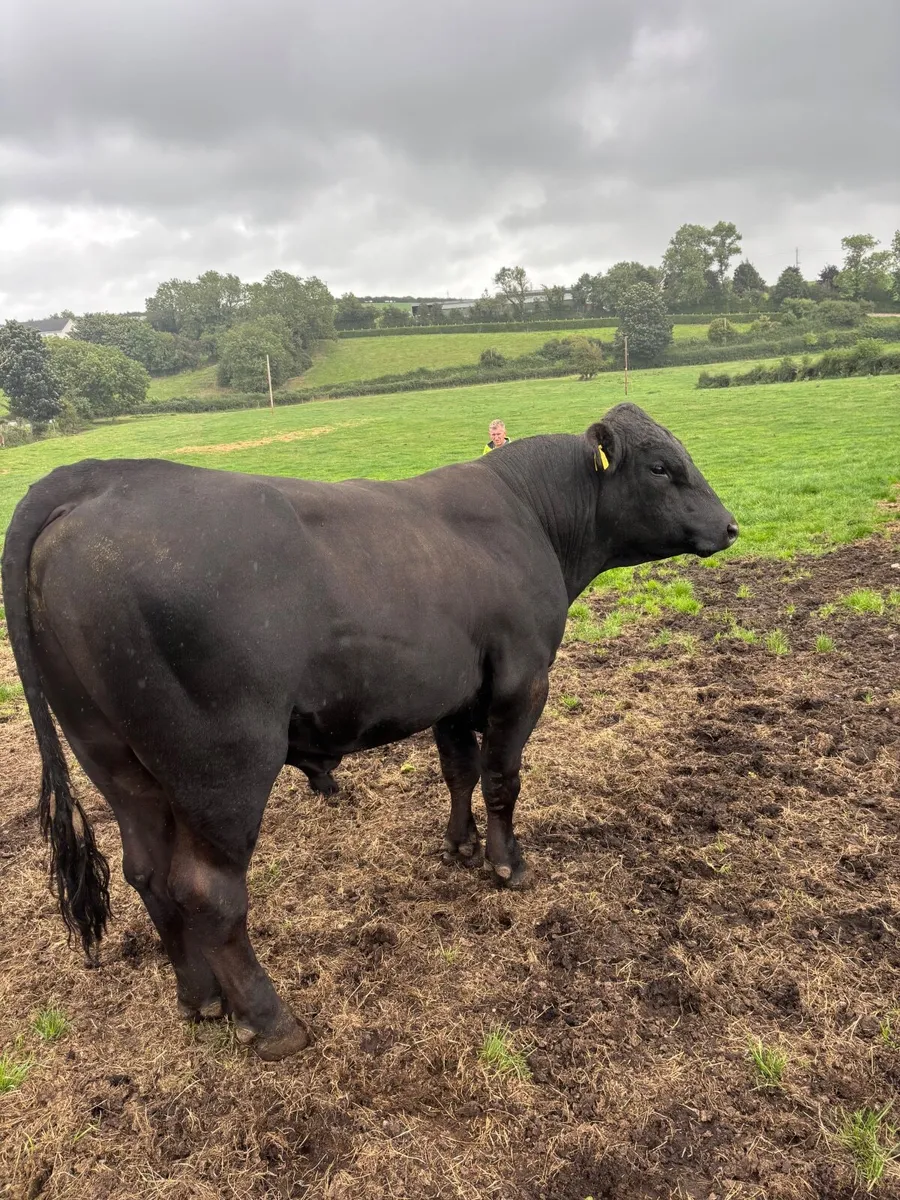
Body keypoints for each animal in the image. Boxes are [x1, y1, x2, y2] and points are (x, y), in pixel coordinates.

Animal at [1, 402, 737, 1060]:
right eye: (662, 466)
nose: (730, 525)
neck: (528, 516)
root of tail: (100, 477)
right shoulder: (521, 680)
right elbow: (501, 778)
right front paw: (509, 865)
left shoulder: (454, 692)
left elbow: (459, 770)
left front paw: (460, 846)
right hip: (222, 765)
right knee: (209, 892)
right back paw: (271, 1024)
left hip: (114, 759)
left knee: (148, 873)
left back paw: (202, 999)